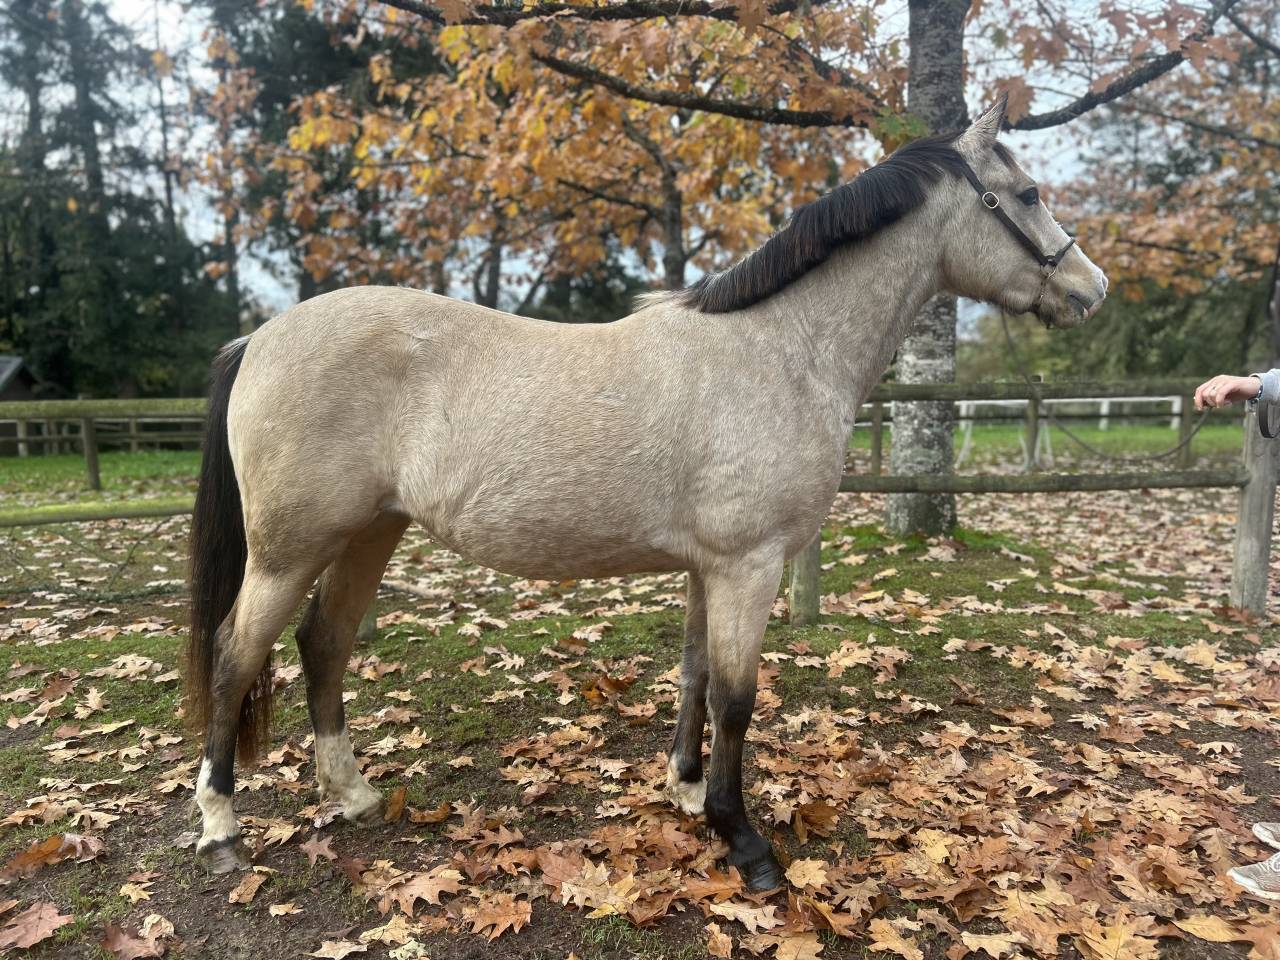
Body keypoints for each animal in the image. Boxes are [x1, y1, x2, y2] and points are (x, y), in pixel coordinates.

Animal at [184, 95, 1107, 891]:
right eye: (1027, 192)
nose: (1091, 291)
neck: (779, 349)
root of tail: (258, 337)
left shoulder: (712, 568)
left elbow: (695, 675)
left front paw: (688, 792)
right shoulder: (749, 566)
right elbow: (737, 698)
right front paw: (745, 842)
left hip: (369, 532)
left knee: (323, 645)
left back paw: (352, 794)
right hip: (289, 549)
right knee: (236, 655)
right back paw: (222, 829)